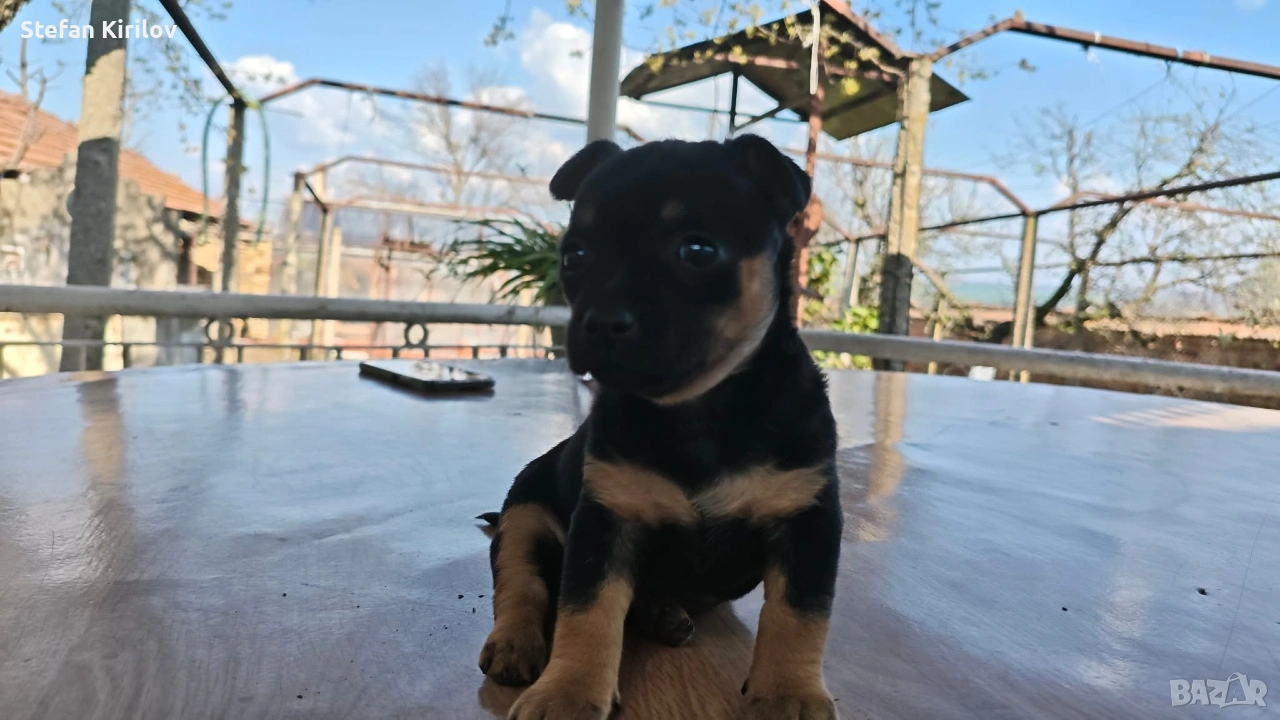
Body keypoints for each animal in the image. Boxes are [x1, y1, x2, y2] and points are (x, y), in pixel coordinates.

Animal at [479, 134, 842, 720]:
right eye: (575, 256)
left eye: (698, 251)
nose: (601, 321)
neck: (698, 409)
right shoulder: (605, 522)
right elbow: (586, 611)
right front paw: (568, 693)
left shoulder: (806, 520)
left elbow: (799, 615)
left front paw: (789, 695)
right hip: (525, 515)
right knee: (522, 582)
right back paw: (516, 644)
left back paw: (662, 614)